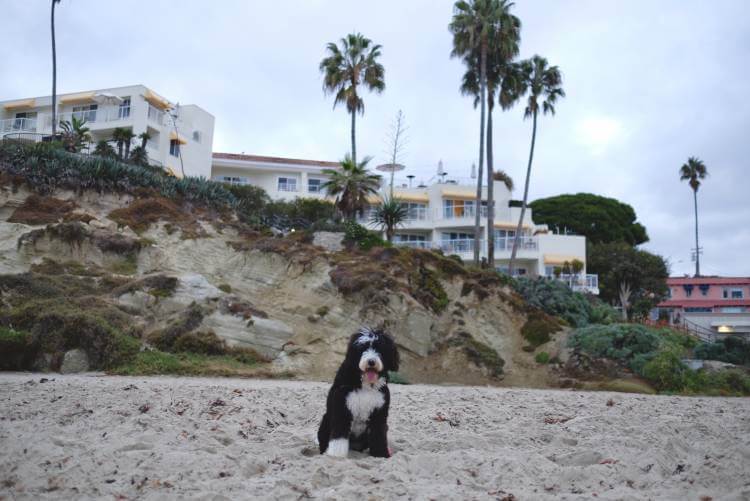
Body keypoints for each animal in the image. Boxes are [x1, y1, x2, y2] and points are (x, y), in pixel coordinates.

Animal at [318, 326, 400, 458]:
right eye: (363, 349)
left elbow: (379, 435)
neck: (365, 385)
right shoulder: (342, 407)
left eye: (380, 349)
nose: (371, 361)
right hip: (326, 421)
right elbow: (339, 435)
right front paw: (336, 455)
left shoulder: (379, 413)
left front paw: (381, 454)